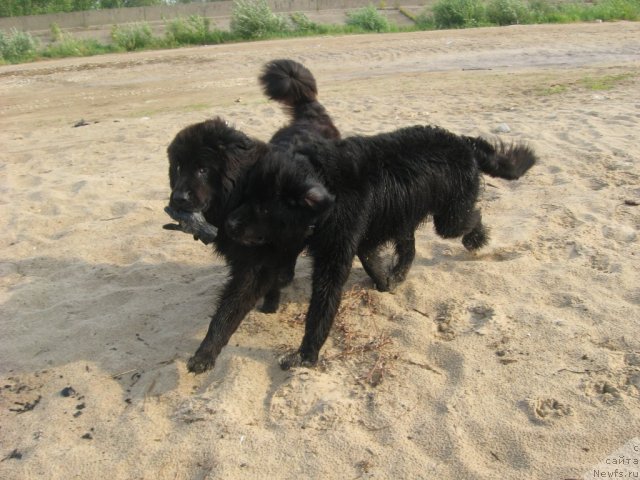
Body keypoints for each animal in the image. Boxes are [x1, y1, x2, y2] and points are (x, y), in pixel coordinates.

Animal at [165, 58, 340, 372]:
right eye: (178, 167)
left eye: (202, 169)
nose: (178, 198)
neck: (240, 190)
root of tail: (310, 114)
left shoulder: (253, 265)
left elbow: (228, 312)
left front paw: (205, 354)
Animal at [225, 124, 536, 368]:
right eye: (247, 194)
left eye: (265, 208)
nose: (228, 224)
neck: (327, 187)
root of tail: (462, 141)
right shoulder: (361, 238)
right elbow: (370, 260)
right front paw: (385, 283)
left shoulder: (336, 255)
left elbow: (322, 306)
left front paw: (305, 356)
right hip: (405, 215)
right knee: (410, 247)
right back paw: (399, 274)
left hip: (449, 218)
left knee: (471, 218)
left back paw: (477, 239)